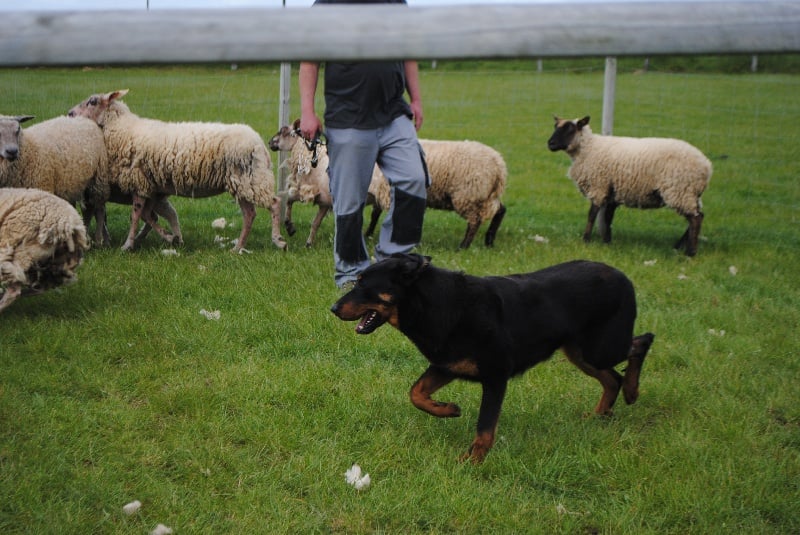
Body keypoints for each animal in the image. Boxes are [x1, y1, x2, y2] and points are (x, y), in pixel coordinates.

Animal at [68, 90, 288, 253]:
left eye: (92, 101)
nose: (69, 114)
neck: (122, 129)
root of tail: (260, 143)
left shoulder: (138, 181)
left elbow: (136, 215)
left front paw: (128, 244)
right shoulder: (152, 187)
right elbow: (147, 215)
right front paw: (170, 237)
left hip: (252, 180)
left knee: (274, 204)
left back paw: (278, 240)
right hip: (242, 183)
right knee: (250, 214)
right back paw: (238, 247)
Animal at [328, 255, 652, 464]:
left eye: (363, 284)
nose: (332, 309)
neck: (439, 305)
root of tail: (624, 277)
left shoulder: (495, 376)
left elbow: (484, 429)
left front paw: (472, 462)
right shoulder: (447, 364)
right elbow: (416, 393)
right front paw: (448, 409)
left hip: (599, 347)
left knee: (641, 342)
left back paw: (632, 392)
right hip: (580, 351)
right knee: (613, 376)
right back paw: (601, 413)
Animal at [364, 137, 506, 248]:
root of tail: (499, 165)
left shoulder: (388, 193)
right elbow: (375, 215)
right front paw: (368, 235)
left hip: (468, 195)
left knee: (474, 221)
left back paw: (463, 246)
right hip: (485, 197)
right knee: (500, 210)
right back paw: (489, 241)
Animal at [548, 115, 708, 258]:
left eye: (570, 129)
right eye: (555, 127)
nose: (550, 143)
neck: (588, 148)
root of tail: (707, 166)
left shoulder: (598, 187)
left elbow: (592, 215)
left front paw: (586, 240)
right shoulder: (612, 193)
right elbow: (607, 218)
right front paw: (607, 242)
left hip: (680, 190)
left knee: (696, 219)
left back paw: (690, 252)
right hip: (691, 194)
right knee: (697, 216)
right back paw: (678, 247)